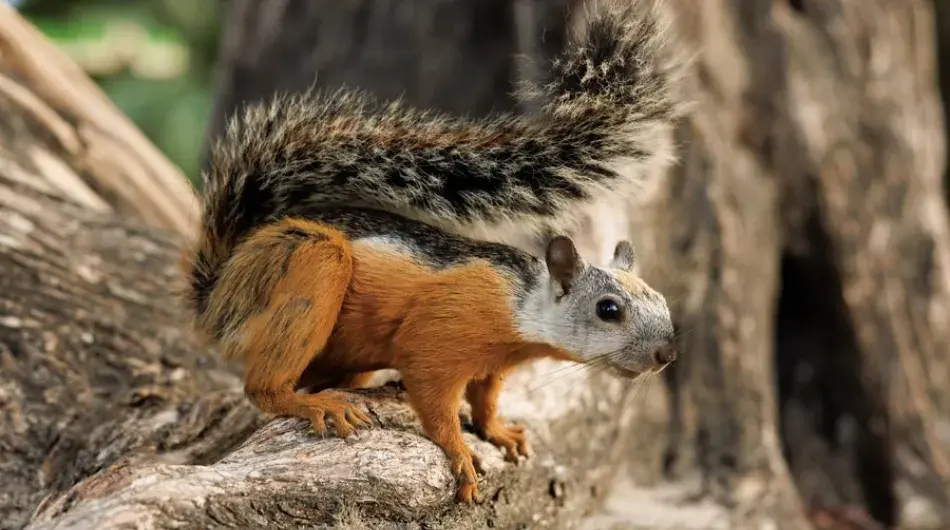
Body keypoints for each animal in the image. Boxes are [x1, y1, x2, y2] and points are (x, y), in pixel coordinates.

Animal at [182, 0, 686, 504]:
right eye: (608, 309)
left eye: (663, 301)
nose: (667, 354)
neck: (520, 307)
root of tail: (220, 292)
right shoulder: (437, 340)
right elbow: (434, 401)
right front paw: (460, 454)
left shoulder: (494, 366)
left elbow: (485, 399)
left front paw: (498, 431)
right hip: (309, 263)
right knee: (263, 388)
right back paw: (312, 403)